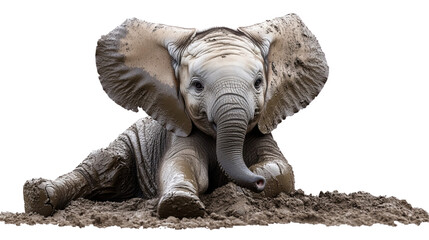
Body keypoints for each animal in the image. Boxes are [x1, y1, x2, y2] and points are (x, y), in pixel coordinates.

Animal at [23, 14, 328, 218]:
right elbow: (181, 164)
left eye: (258, 83)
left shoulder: (261, 129)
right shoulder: (179, 133)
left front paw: (238, 184)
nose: (256, 182)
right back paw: (38, 197)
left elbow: (282, 168)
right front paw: (181, 205)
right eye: (197, 86)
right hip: (128, 141)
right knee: (102, 167)